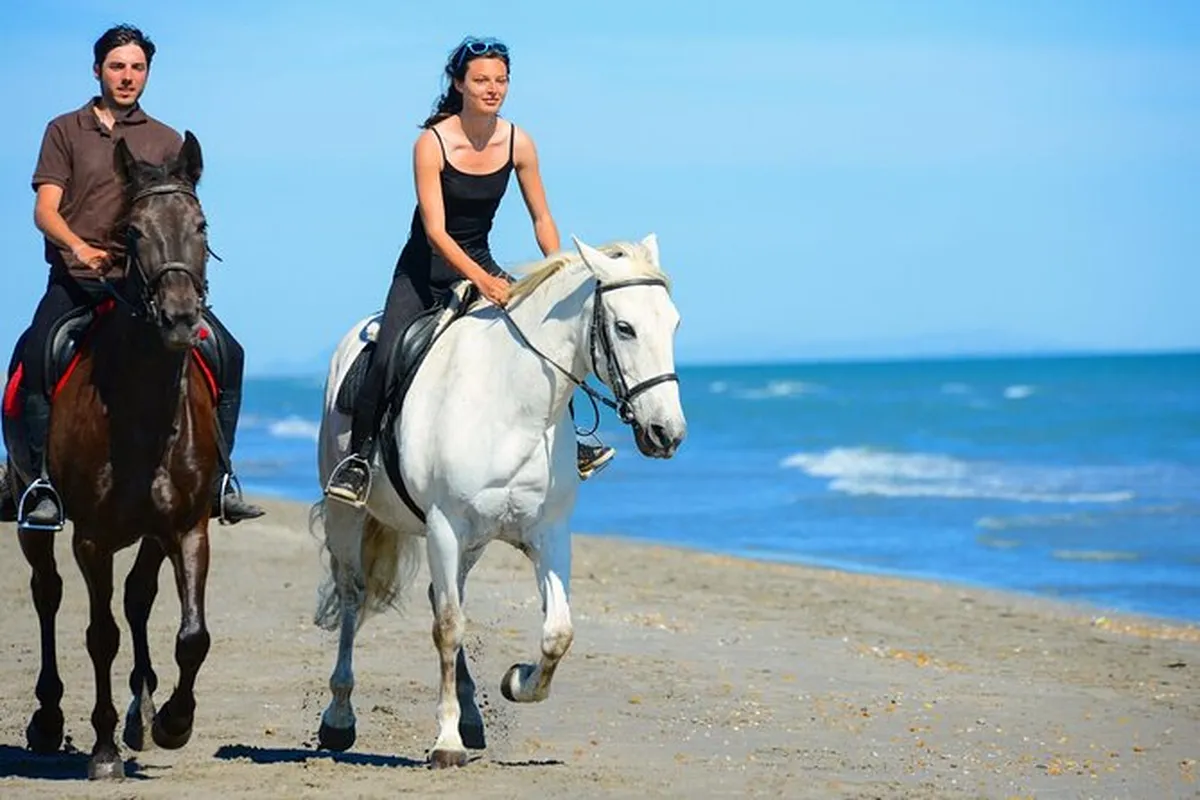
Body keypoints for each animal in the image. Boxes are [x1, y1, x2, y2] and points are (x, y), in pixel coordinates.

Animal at [6, 133, 221, 780]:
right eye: (133, 232)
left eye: (200, 224)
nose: (180, 317)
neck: (141, 411)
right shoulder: (92, 539)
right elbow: (100, 634)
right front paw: (103, 751)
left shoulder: (188, 527)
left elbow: (191, 635)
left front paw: (172, 721)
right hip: (35, 522)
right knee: (47, 594)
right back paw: (49, 720)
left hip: (151, 534)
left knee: (138, 599)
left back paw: (142, 711)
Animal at [311, 233, 686, 767]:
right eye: (625, 327)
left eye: (673, 323)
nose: (666, 433)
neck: (515, 407)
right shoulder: (445, 526)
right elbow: (449, 627)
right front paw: (446, 742)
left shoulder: (548, 533)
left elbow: (558, 633)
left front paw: (516, 682)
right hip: (350, 516)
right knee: (353, 595)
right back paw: (340, 718)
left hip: (474, 542)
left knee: (441, 594)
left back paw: (471, 716)